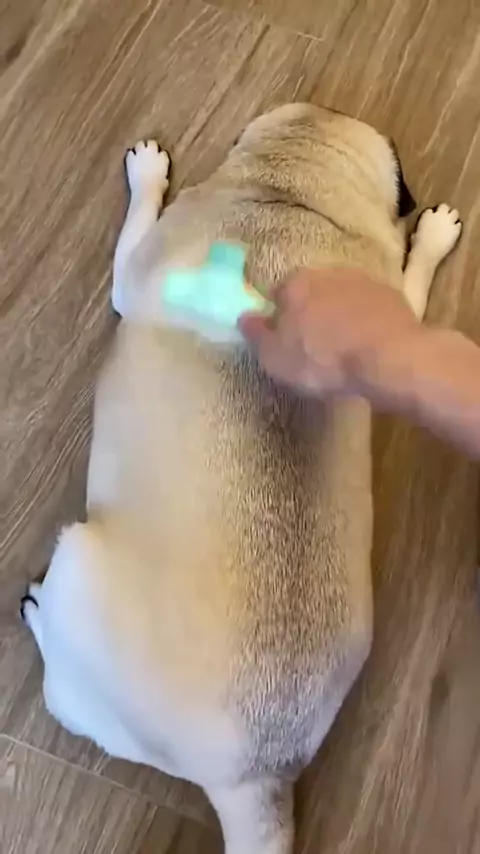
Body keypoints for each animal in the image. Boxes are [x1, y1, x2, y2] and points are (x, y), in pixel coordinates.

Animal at [21, 104, 462, 854]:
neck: (292, 197)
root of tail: (257, 773)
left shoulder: (135, 268)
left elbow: (134, 234)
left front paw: (147, 176)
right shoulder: (379, 318)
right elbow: (408, 289)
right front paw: (429, 238)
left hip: (76, 565)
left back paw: (35, 611)